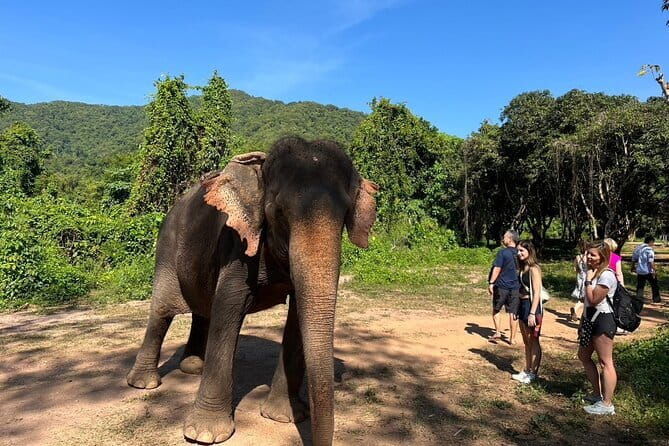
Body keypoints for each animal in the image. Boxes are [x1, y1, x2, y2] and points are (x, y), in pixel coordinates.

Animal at [126, 137, 379, 445]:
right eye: (278, 213)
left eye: (345, 215)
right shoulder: (236, 244)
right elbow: (228, 308)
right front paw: (204, 434)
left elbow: (297, 314)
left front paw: (284, 417)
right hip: (166, 248)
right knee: (162, 311)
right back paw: (143, 384)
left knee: (202, 310)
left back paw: (193, 367)